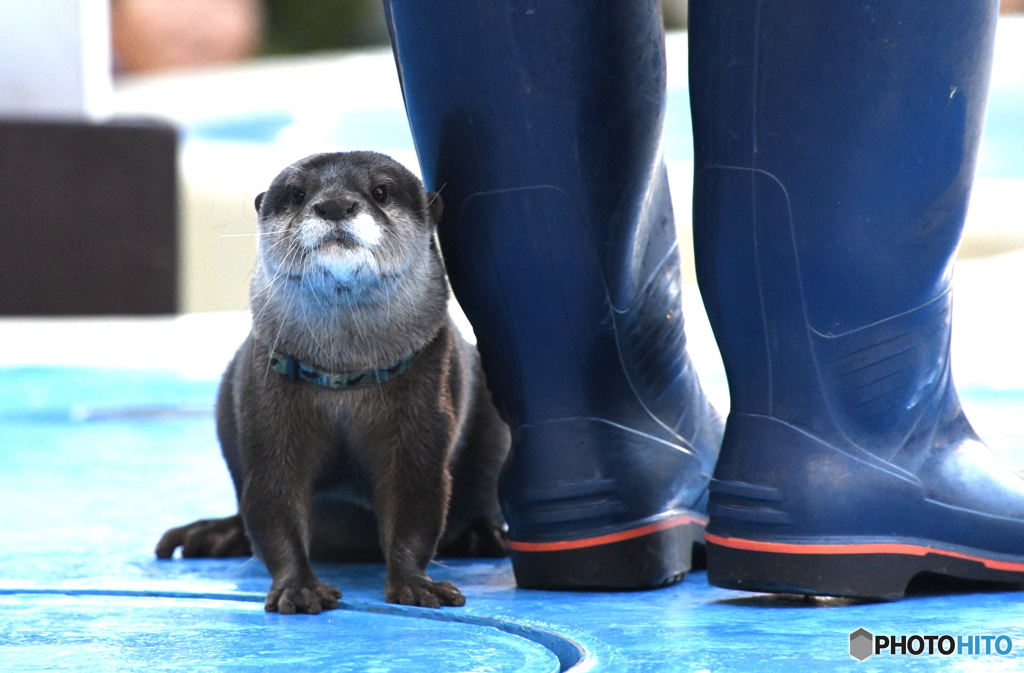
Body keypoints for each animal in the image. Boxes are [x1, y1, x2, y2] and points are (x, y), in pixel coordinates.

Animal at [155, 152, 507, 614]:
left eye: (381, 191)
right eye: (297, 193)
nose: (335, 205)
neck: (343, 374)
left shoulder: (423, 412)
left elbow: (416, 503)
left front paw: (415, 584)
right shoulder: (267, 411)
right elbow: (272, 498)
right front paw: (298, 586)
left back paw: (486, 536)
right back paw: (216, 535)